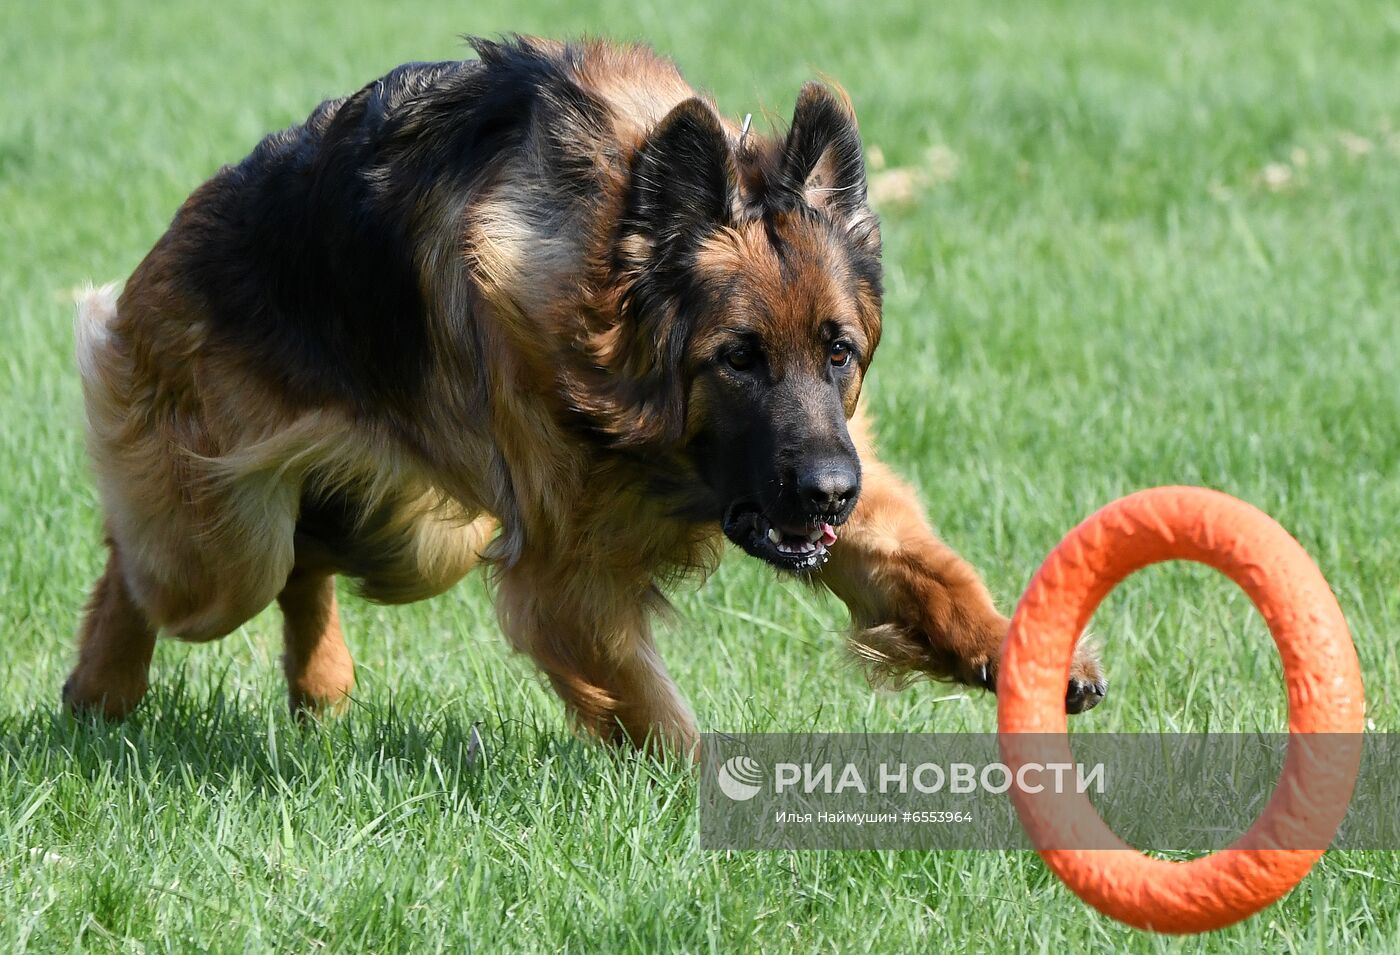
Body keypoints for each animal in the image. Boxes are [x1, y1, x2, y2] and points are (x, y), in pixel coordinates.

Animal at [71, 35, 1103, 750]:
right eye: (738, 358)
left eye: (838, 351)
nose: (826, 495)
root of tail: (192, 219)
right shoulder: (565, 583)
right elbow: (656, 712)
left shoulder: (840, 477)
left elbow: (927, 568)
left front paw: (1018, 648)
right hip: (224, 550)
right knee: (149, 562)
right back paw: (101, 687)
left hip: (417, 538)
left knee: (306, 559)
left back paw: (317, 681)